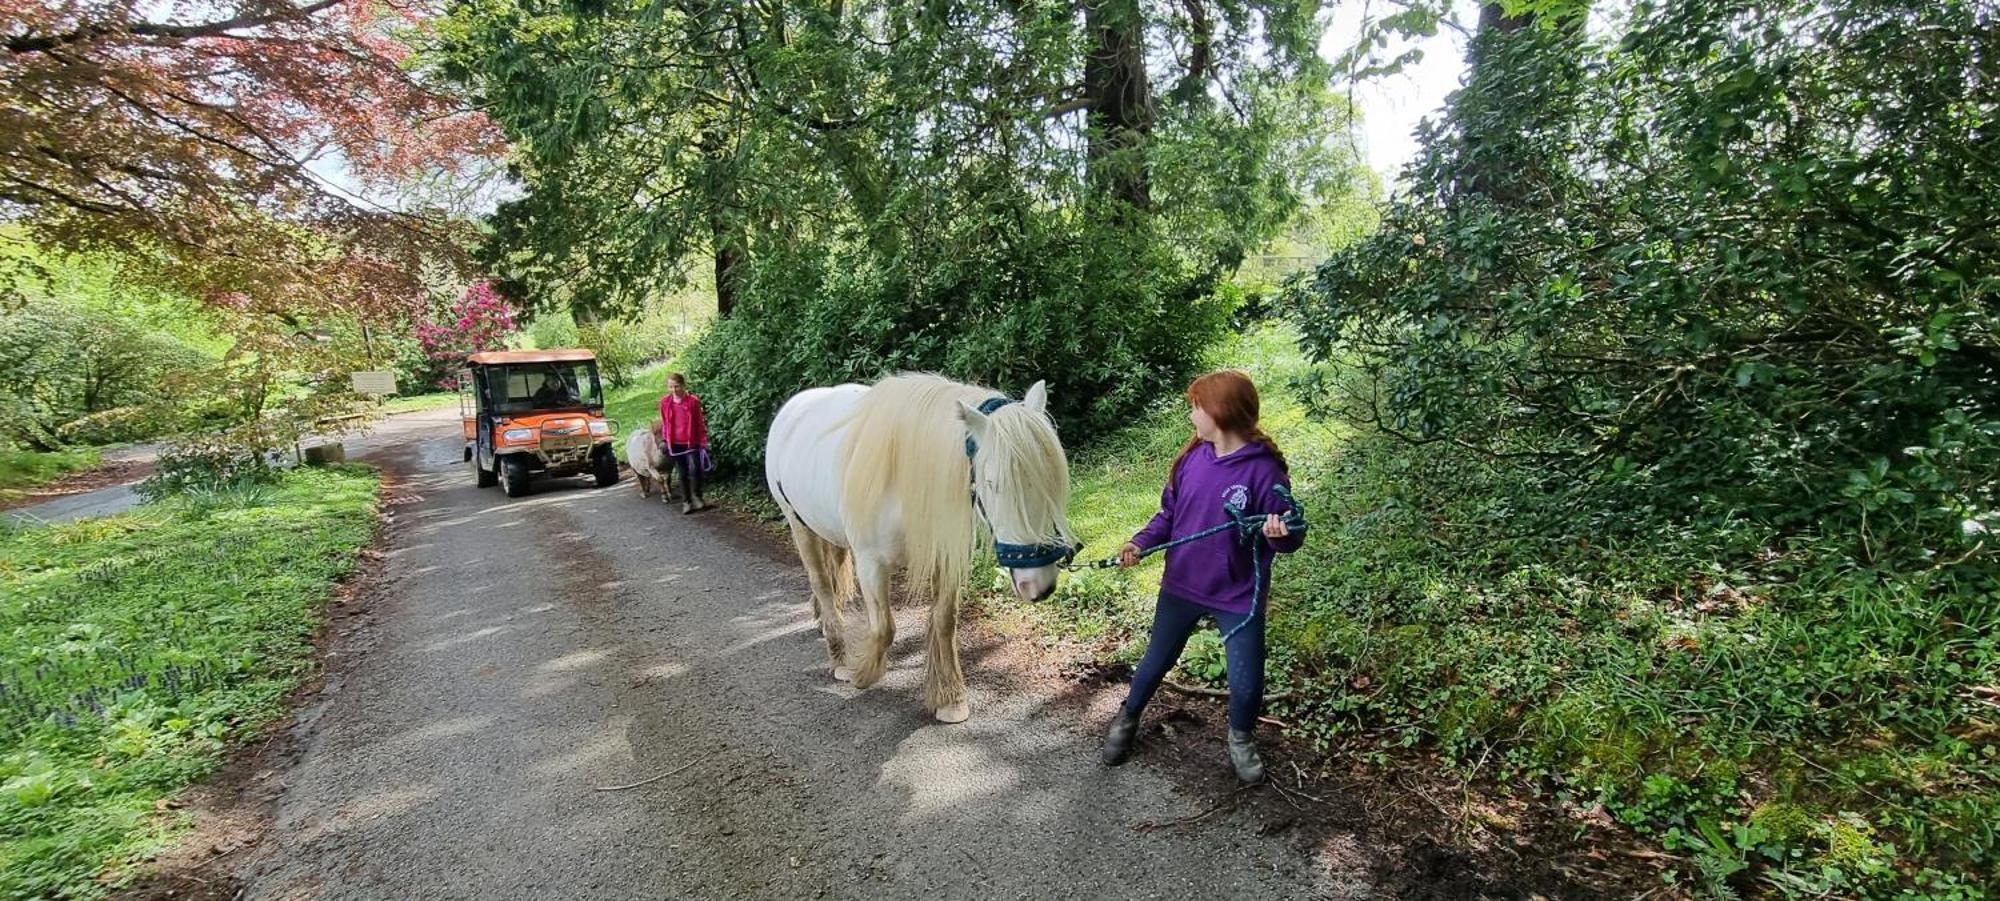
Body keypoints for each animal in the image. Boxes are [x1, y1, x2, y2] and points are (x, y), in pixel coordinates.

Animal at [764, 372, 1080, 724]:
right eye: (992, 483)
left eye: (1053, 481)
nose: (1039, 585)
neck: (901, 483)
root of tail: (794, 407)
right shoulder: (870, 565)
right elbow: (884, 628)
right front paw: (862, 673)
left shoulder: (944, 558)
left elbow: (944, 622)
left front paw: (950, 699)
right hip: (798, 526)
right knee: (821, 583)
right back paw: (840, 657)